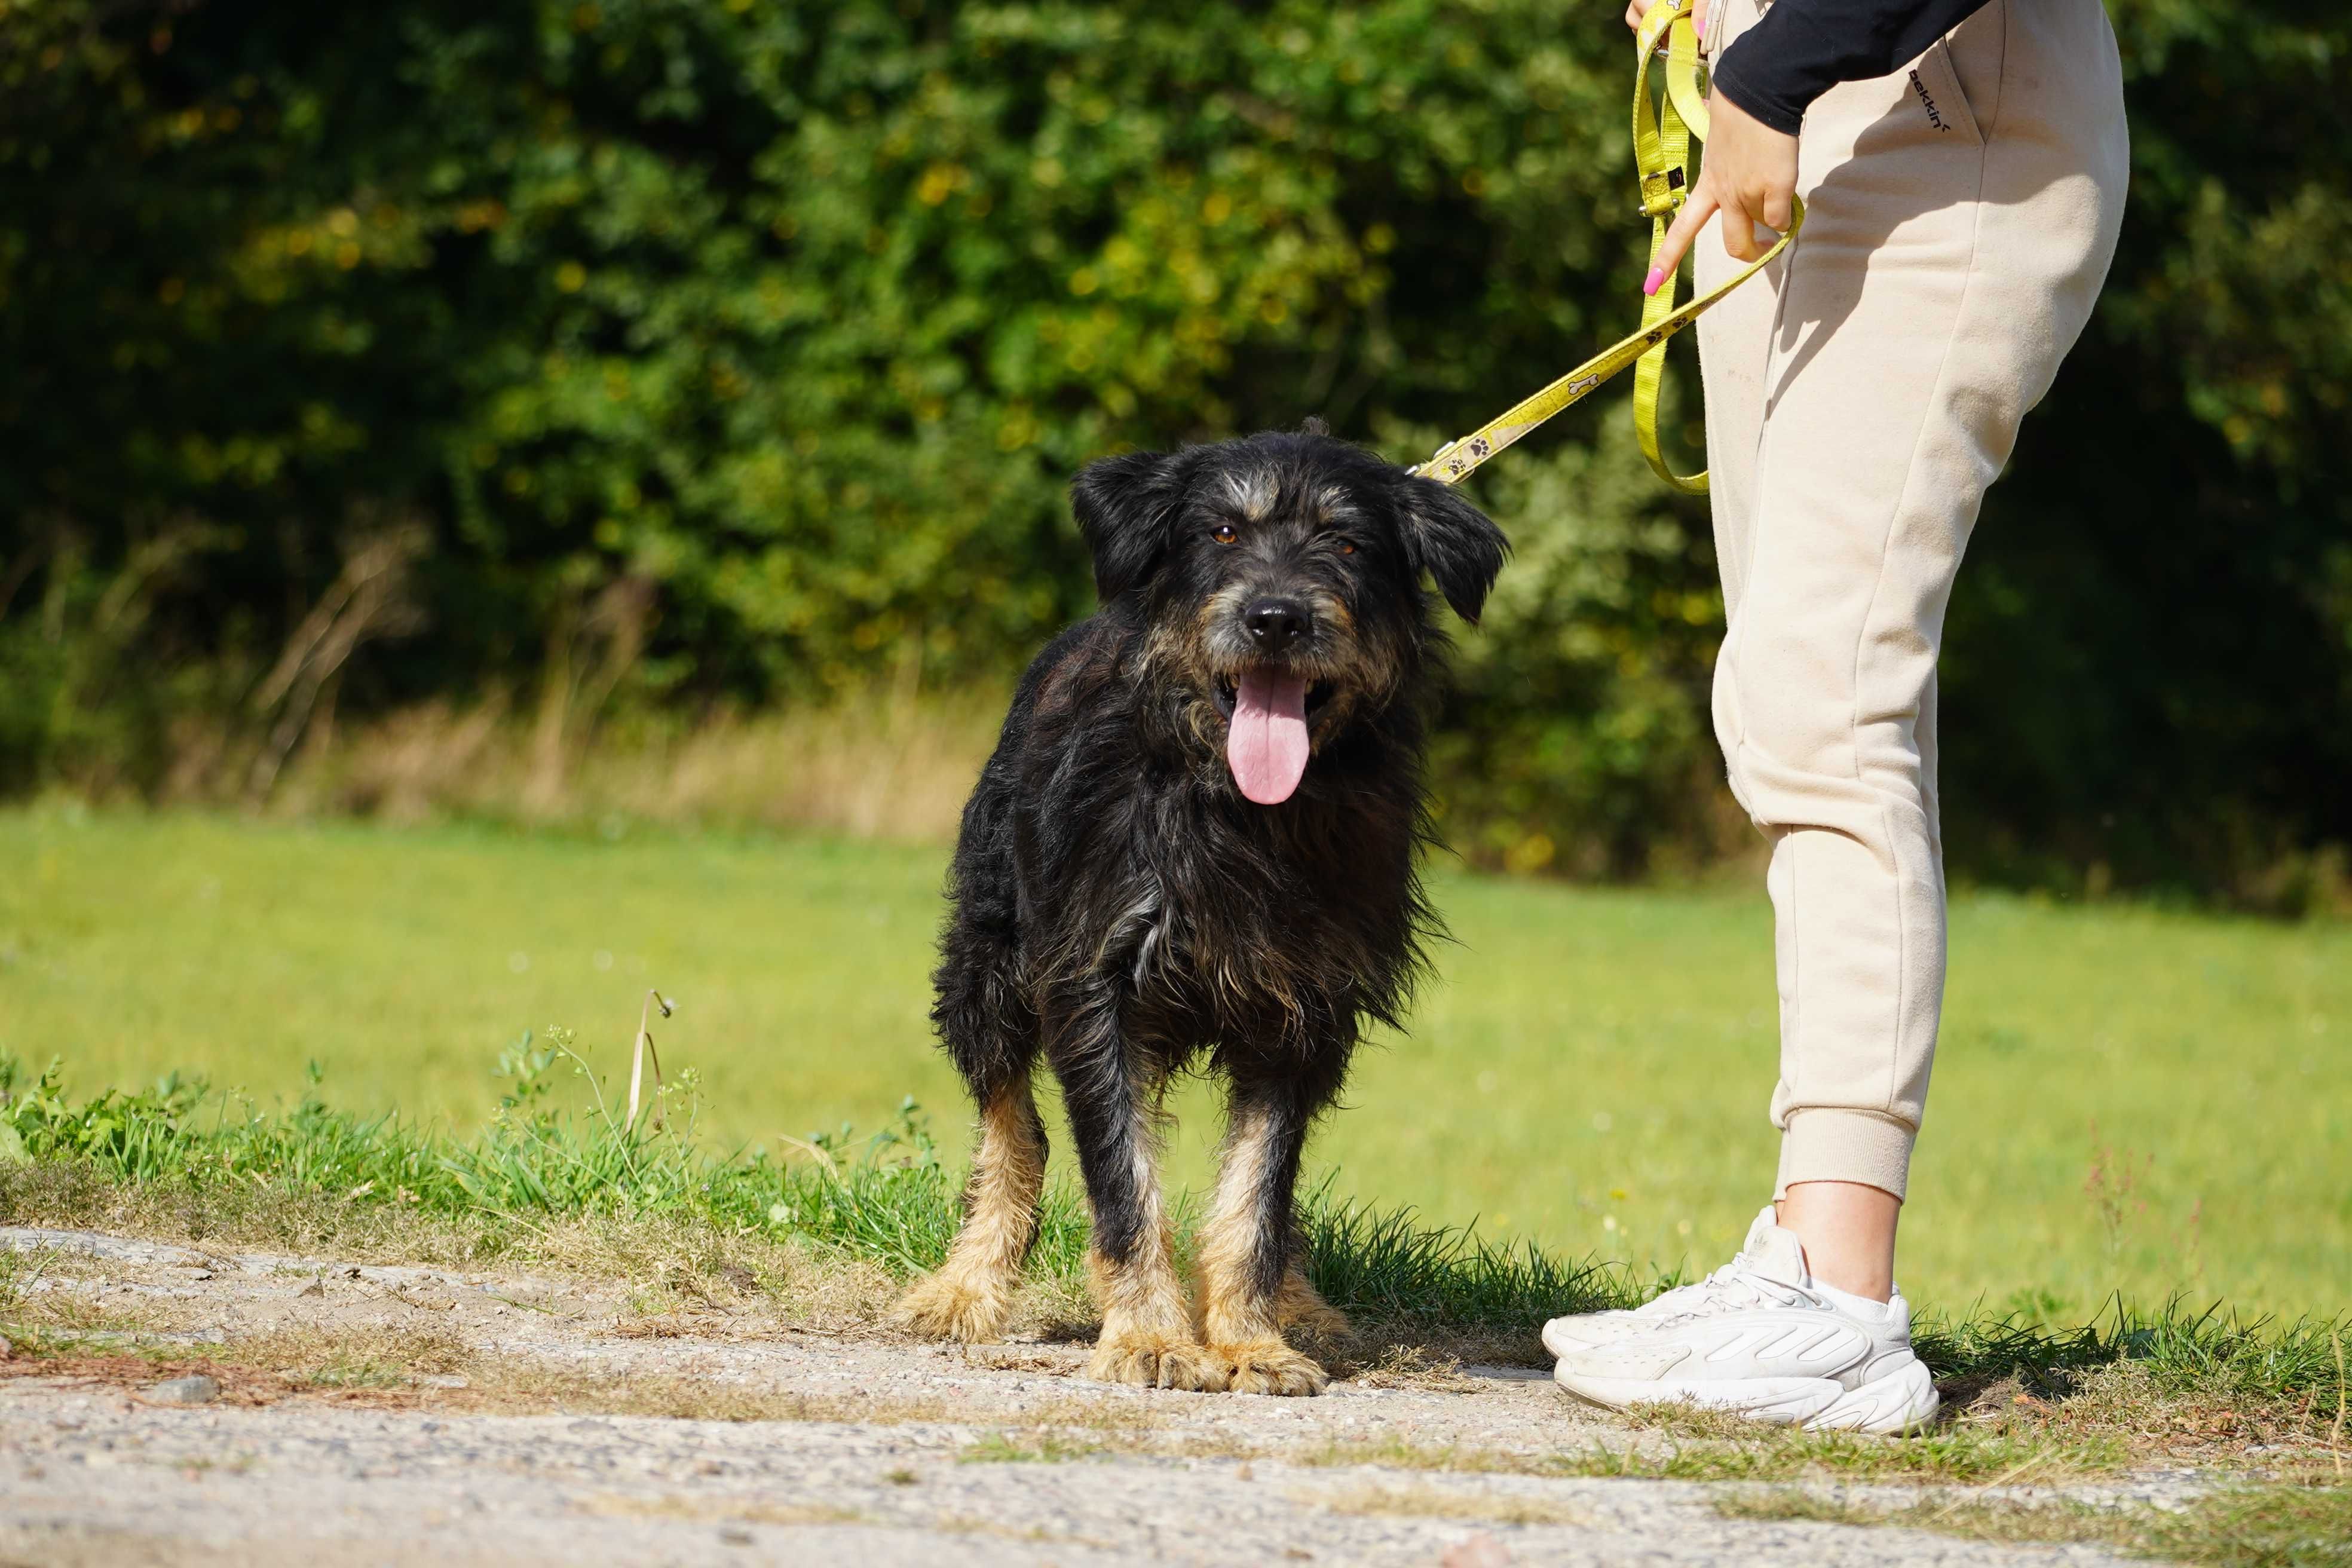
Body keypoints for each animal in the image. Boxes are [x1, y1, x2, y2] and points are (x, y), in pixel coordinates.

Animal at [898, 421, 1505, 1401]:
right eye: (1222, 531)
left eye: (1347, 544)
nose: (1276, 617)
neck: (1236, 805)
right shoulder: (1094, 983)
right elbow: (1122, 1182)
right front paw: (1149, 1334)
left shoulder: (1308, 1007)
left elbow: (1257, 1194)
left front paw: (1252, 1339)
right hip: (985, 964)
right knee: (1011, 1122)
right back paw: (968, 1284)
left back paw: (1296, 1303)